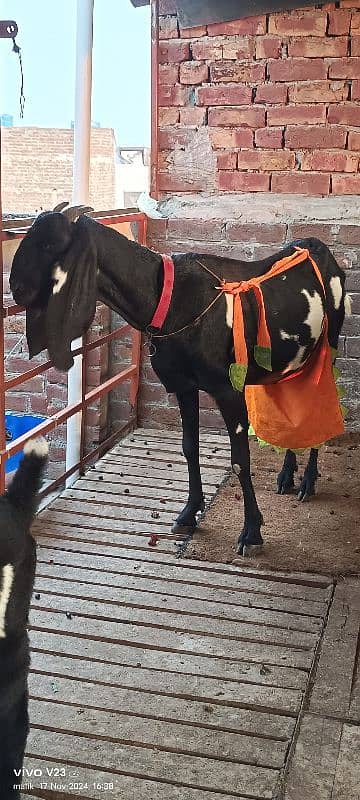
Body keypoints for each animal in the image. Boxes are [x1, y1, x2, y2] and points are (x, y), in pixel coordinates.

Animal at [10, 206, 348, 552]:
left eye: (51, 244)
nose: (16, 286)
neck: (168, 299)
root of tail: (315, 245)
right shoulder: (184, 386)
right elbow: (189, 447)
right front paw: (188, 513)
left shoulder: (228, 391)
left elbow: (240, 460)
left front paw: (251, 532)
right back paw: (287, 475)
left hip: (330, 345)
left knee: (321, 404)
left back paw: (307, 481)